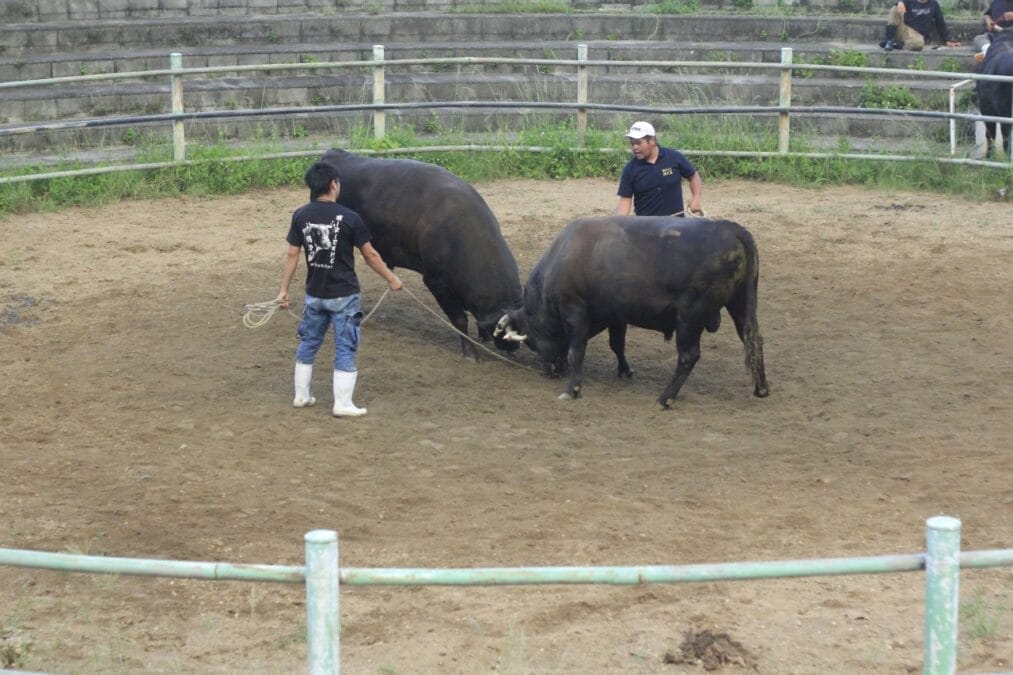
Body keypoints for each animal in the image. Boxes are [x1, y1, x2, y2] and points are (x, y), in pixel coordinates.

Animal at [494, 215, 769, 405]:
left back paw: (666, 397)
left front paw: (572, 390)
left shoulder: (574, 310)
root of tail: (733, 229)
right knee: (754, 341)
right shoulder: (616, 316)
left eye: (531, 340)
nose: (549, 369)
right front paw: (625, 370)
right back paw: (761, 388)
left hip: (689, 318)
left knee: (688, 355)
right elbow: (617, 344)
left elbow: (576, 351)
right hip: (741, 307)